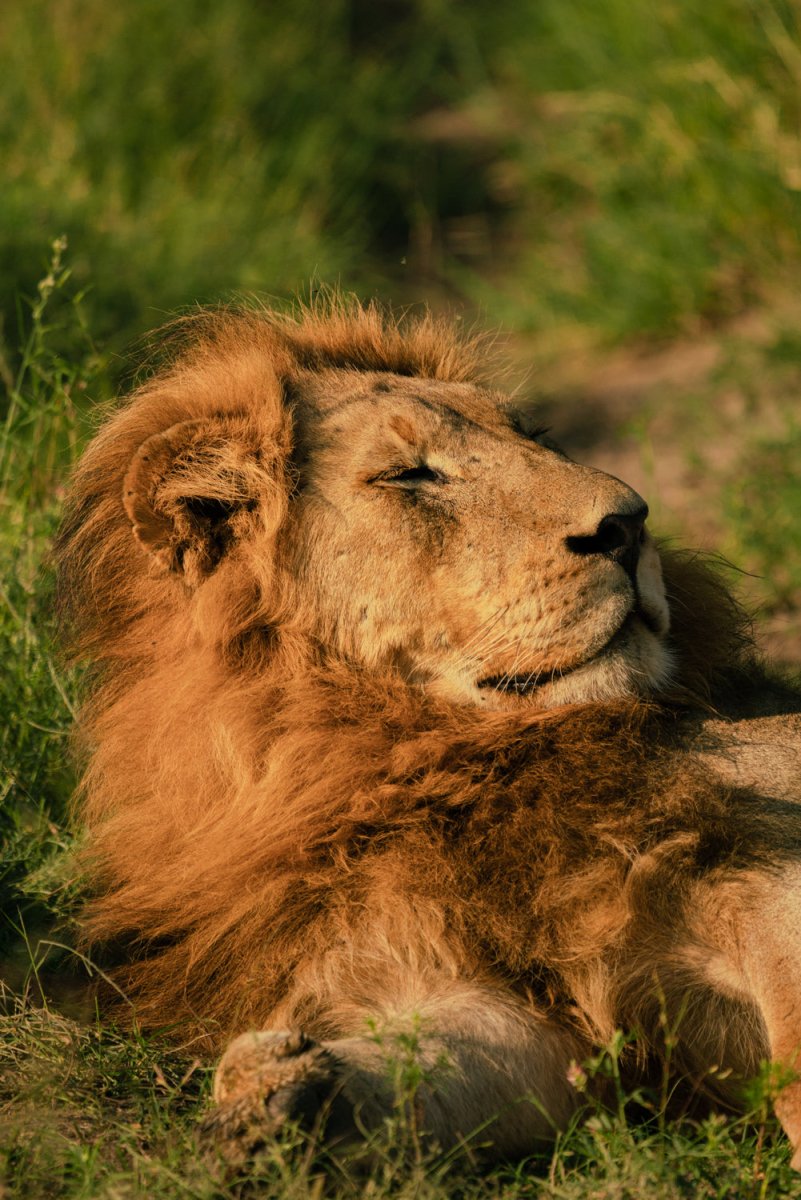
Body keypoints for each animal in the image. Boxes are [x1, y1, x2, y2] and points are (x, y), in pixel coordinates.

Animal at [54, 295, 801, 1166]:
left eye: (533, 437)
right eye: (410, 473)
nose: (628, 523)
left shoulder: (754, 866)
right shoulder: (477, 983)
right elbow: (435, 1061)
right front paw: (276, 1102)